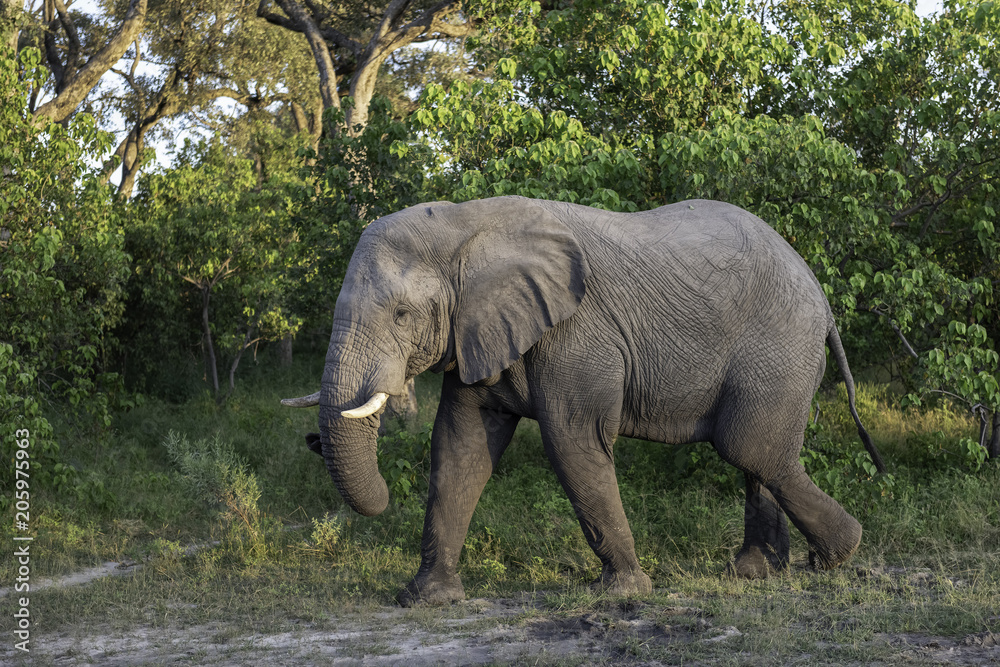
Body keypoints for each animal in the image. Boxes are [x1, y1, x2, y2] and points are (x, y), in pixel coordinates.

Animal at [282, 196, 884, 608]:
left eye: (403, 315)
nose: (311, 440)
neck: (466, 226)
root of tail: (821, 295)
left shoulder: (576, 335)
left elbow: (573, 443)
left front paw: (625, 594)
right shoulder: (479, 329)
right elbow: (459, 449)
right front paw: (424, 599)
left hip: (779, 347)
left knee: (750, 447)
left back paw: (838, 555)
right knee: (757, 456)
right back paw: (758, 573)